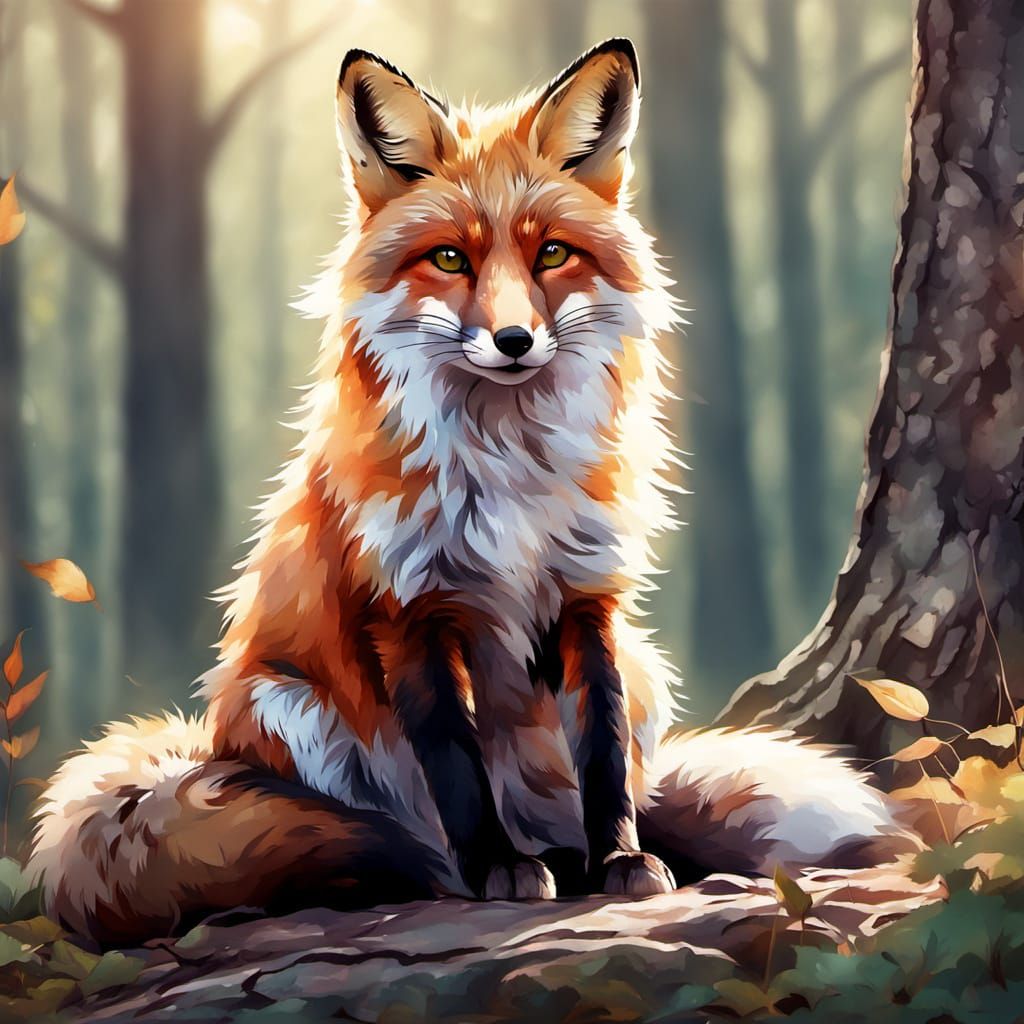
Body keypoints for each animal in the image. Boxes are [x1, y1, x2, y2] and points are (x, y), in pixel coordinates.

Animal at [29, 39, 913, 946]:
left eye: (552, 253)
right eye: (451, 257)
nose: (515, 339)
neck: (509, 467)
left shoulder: (588, 596)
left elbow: (601, 754)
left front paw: (620, 858)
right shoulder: (409, 608)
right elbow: (455, 764)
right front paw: (495, 870)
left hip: (644, 669)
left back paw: (572, 856)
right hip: (290, 705)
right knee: (396, 833)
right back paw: (453, 869)